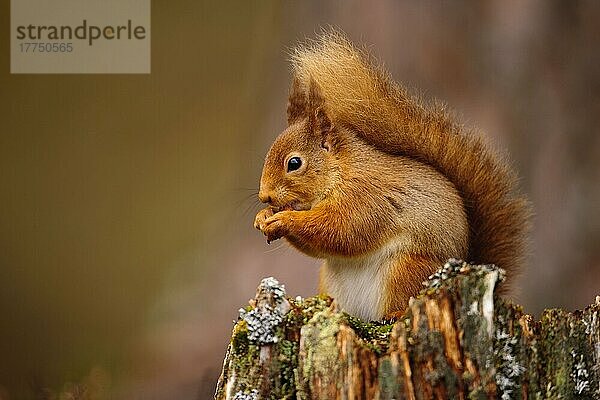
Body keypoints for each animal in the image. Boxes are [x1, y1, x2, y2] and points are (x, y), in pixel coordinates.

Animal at [253, 32, 528, 322]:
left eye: (294, 163)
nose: (264, 196)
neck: (340, 172)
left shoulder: (366, 196)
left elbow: (340, 230)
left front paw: (285, 219)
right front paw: (263, 217)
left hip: (406, 269)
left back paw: (395, 313)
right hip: (330, 278)